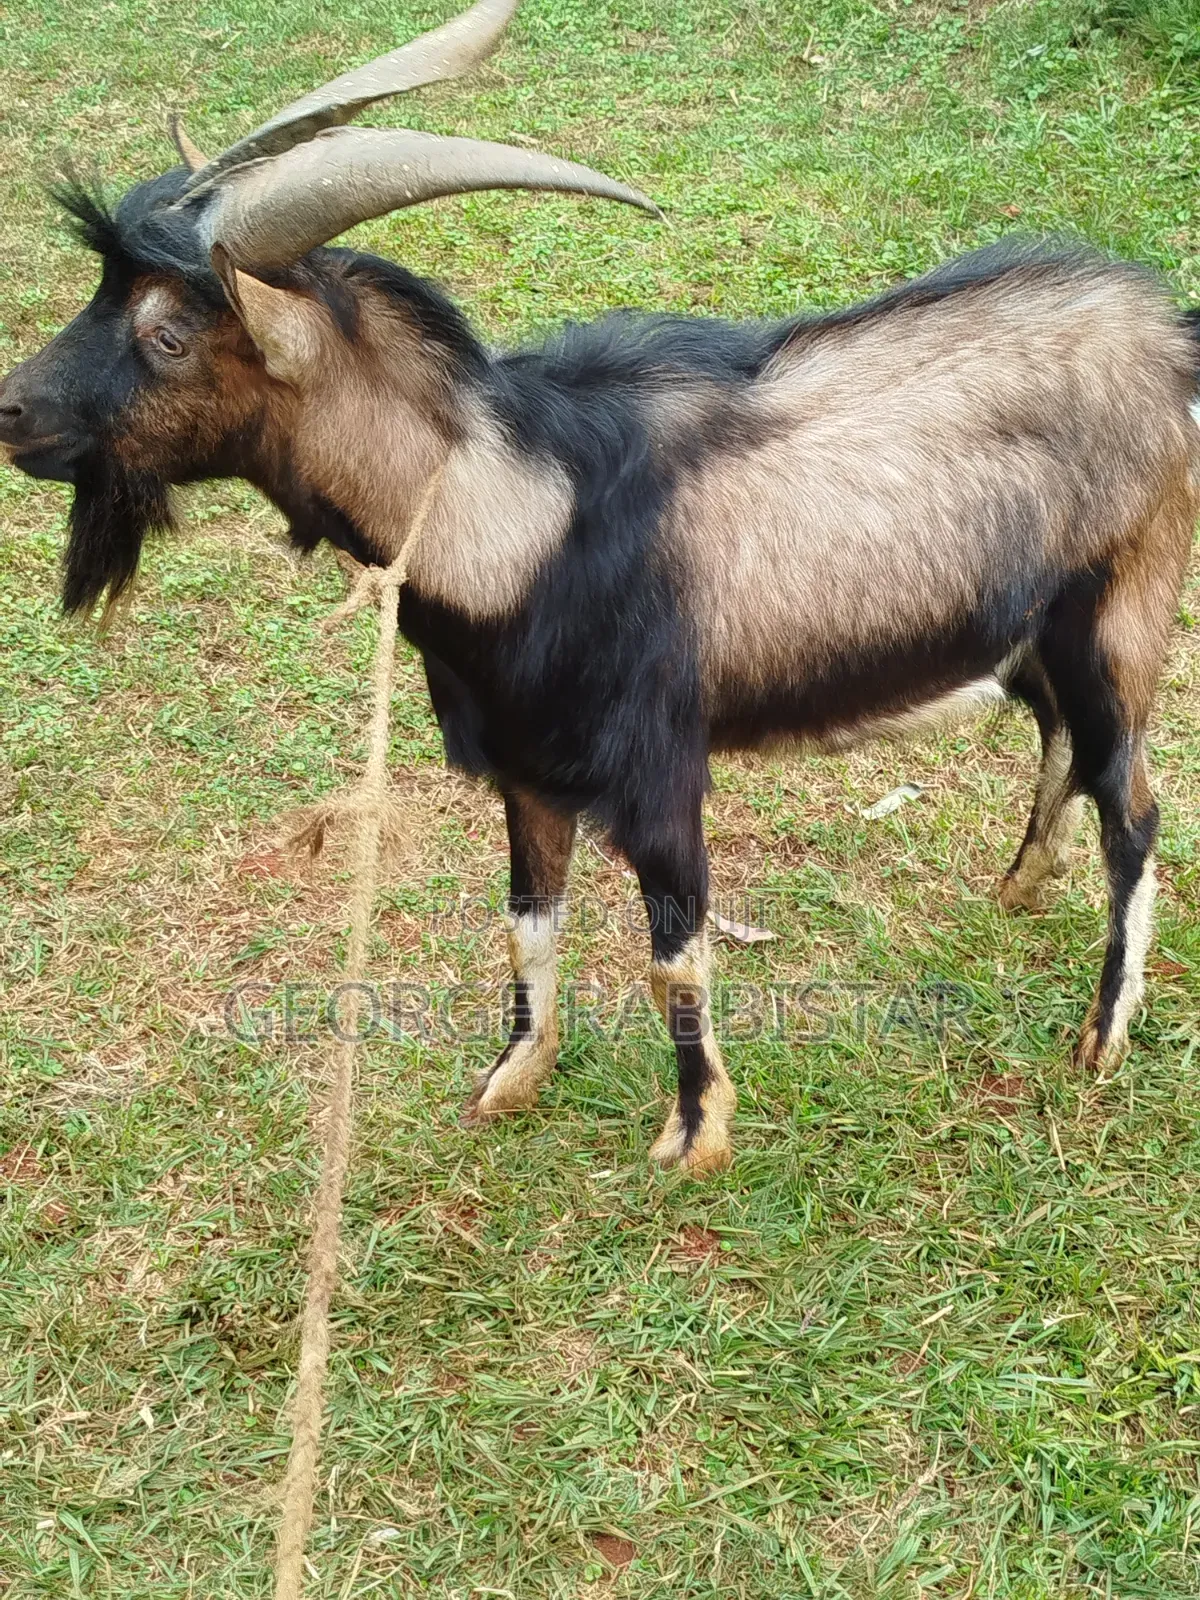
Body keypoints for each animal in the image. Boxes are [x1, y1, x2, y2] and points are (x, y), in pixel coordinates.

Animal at [1, 0, 1197, 1174]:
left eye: (166, 334)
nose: (12, 410)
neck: (520, 521)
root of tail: (1167, 336)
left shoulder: (658, 771)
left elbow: (676, 957)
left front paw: (695, 1135)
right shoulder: (527, 767)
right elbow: (528, 923)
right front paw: (509, 1080)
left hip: (1120, 611)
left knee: (1132, 806)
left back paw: (1101, 1033)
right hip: (1030, 630)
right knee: (1062, 742)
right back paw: (1020, 886)